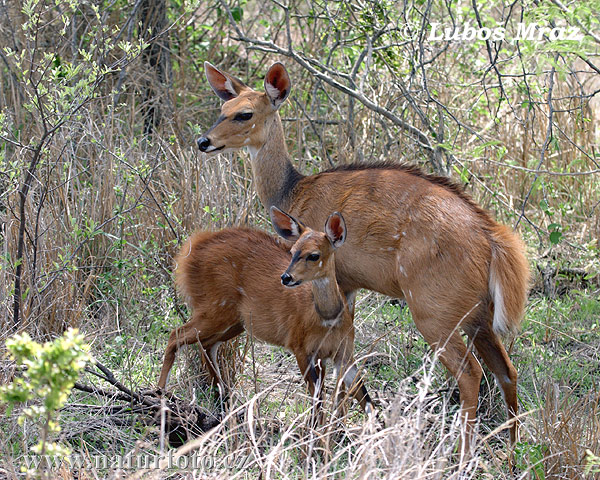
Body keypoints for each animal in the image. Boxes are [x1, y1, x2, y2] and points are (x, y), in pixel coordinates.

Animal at [157, 208, 372, 418]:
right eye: (292, 251)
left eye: (314, 255)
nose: (286, 277)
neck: (328, 318)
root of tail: (192, 247)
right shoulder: (301, 349)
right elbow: (317, 403)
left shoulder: (343, 354)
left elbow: (366, 399)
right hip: (214, 311)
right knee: (176, 335)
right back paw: (161, 394)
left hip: (234, 323)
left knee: (207, 345)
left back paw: (225, 400)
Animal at [197, 62, 528, 452]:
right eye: (223, 109)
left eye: (245, 114)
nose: (204, 142)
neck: (293, 190)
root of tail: (491, 237)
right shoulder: (350, 288)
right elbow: (348, 369)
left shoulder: (336, 279)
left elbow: (342, 369)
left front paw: (334, 435)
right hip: (479, 317)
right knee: (507, 371)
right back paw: (512, 452)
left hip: (435, 315)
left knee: (470, 372)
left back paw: (461, 455)